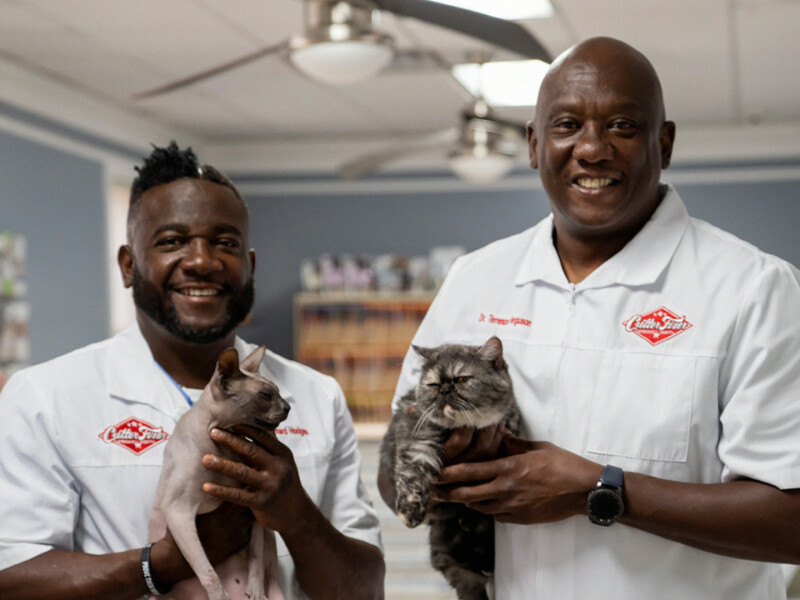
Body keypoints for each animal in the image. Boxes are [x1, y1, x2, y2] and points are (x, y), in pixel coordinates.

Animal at [148, 346, 290, 600]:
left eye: (278, 392)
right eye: (266, 395)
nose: (287, 408)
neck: (221, 445)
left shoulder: (254, 509)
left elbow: (256, 558)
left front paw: (255, 590)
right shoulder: (177, 510)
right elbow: (208, 571)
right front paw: (220, 596)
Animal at [379, 336, 521, 600]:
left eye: (462, 380)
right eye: (433, 384)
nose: (444, 390)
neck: (467, 428)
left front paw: (475, 516)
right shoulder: (418, 443)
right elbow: (411, 478)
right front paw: (409, 513)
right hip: (448, 556)